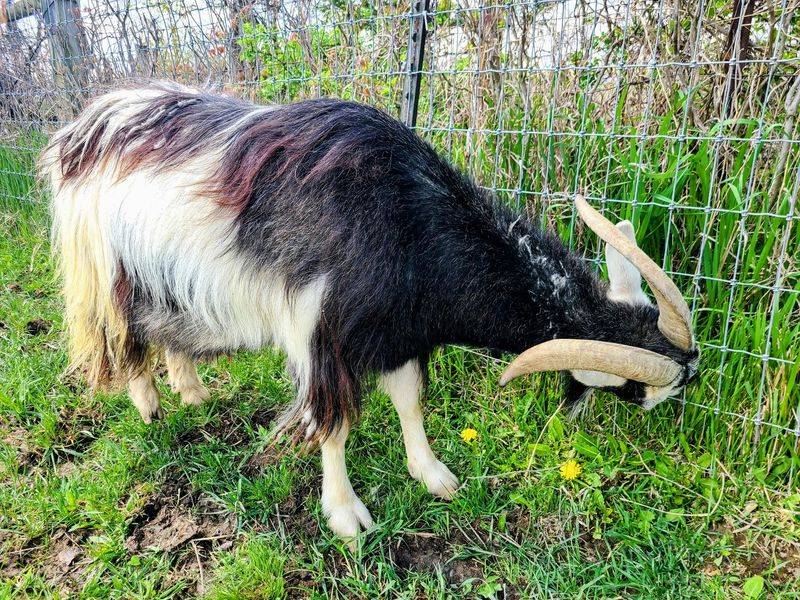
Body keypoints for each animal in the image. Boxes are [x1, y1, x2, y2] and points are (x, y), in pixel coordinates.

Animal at [41, 82, 699, 543]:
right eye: (637, 392)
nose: (690, 371)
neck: (408, 223)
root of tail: (80, 128)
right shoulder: (320, 332)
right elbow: (332, 424)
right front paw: (346, 517)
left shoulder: (398, 331)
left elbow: (408, 401)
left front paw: (434, 476)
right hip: (108, 267)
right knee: (123, 333)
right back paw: (150, 405)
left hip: (176, 281)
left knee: (170, 332)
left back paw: (193, 392)